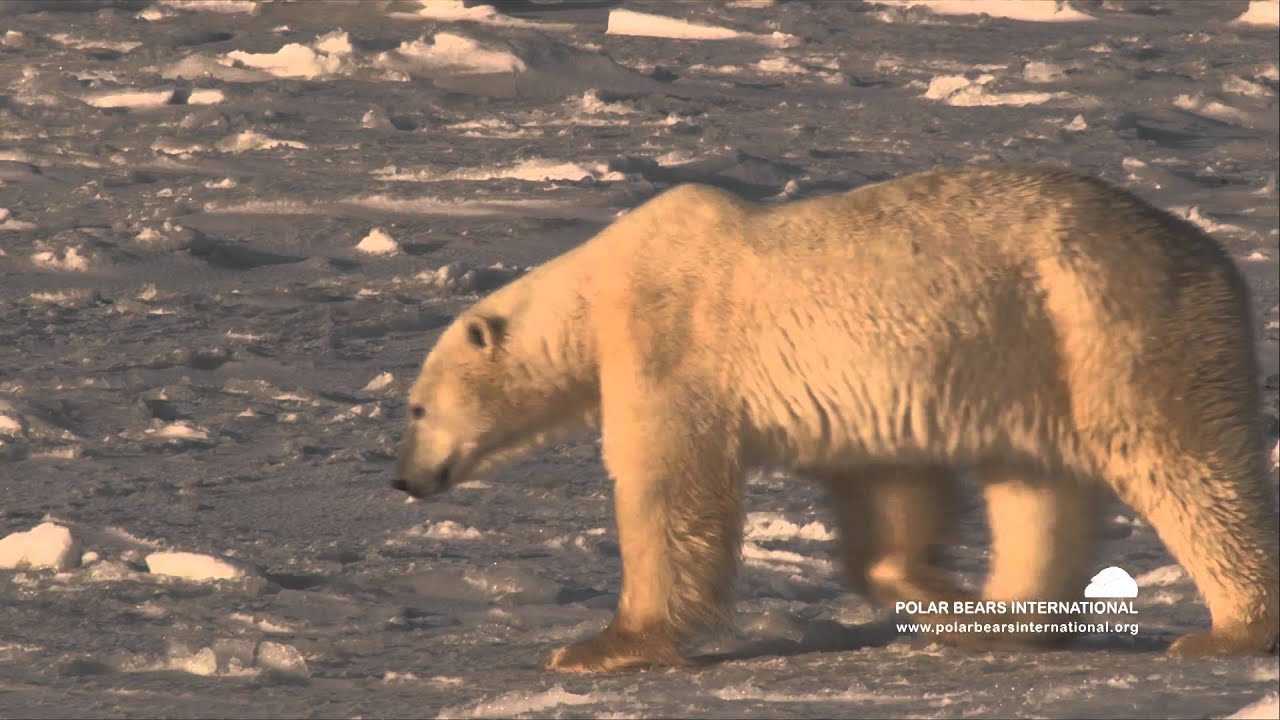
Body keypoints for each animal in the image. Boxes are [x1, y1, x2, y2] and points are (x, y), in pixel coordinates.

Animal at [393, 165, 1280, 672]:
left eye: (416, 406)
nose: (403, 479)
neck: (594, 291)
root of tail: (1211, 255)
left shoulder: (667, 340)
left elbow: (668, 490)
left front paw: (600, 647)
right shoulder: (864, 401)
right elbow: (885, 491)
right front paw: (930, 586)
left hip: (1110, 323)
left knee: (1183, 464)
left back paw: (1229, 629)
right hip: (1037, 355)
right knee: (1038, 487)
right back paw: (994, 622)